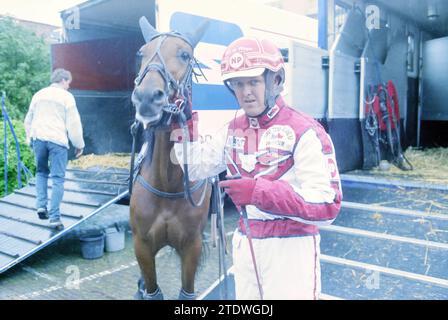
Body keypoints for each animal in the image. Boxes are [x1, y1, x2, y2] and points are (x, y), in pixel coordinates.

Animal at [130, 16, 212, 298]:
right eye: (141, 53)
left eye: (185, 55)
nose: (146, 97)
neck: (167, 184)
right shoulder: (142, 246)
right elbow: (152, 290)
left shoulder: (191, 246)